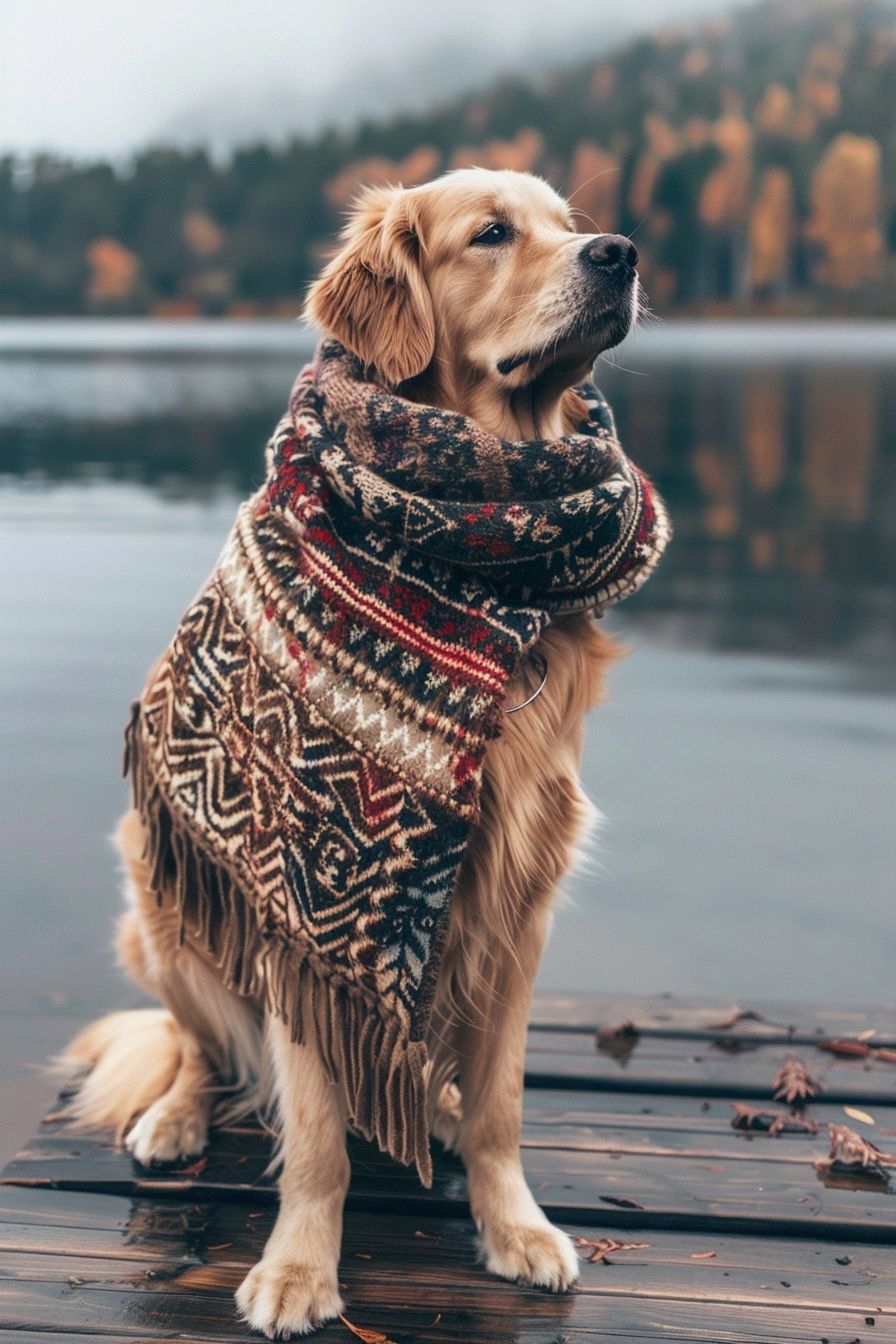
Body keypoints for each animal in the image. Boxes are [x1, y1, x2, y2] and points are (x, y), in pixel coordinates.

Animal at [66, 173, 642, 1338]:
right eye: (491, 234)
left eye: (567, 222)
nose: (618, 254)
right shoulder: (297, 899)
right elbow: (320, 1138)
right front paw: (298, 1270)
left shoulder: (523, 890)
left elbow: (505, 1104)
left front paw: (513, 1224)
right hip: (157, 898)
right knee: (195, 1046)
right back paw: (176, 1117)